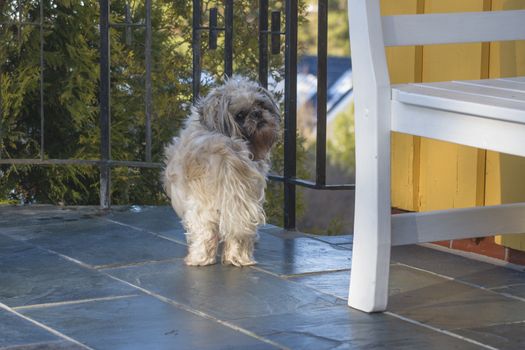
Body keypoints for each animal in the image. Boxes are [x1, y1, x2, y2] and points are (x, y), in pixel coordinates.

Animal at [163, 76, 278, 266]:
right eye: (240, 115)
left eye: (261, 104)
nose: (257, 113)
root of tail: (226, 152)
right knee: (238, 236)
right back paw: (237, 258)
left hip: (200, 207)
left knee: (205, 234)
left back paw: (198, 259)